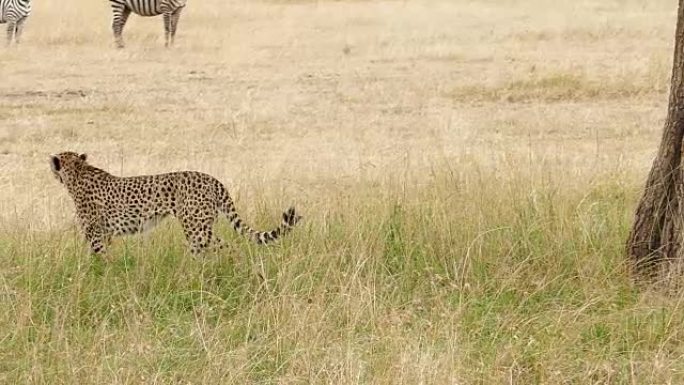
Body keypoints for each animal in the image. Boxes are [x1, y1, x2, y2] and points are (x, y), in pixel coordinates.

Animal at [49, 151, 300, 255]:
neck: (77, 172)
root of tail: (211, 178)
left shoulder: (96, 235)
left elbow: (98, 259)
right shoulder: (105, 235)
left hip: (196, 227)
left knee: (223, 247)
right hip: (201, 229)